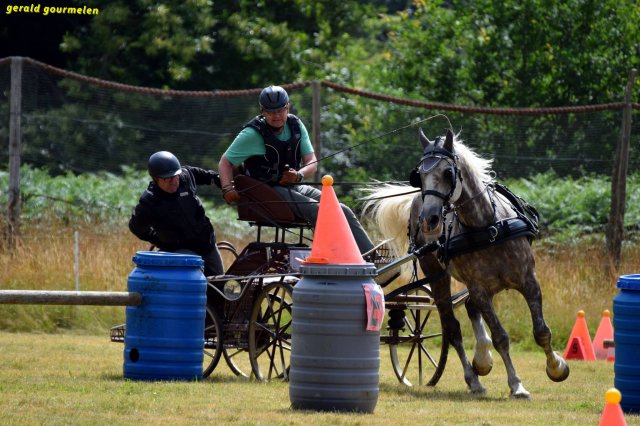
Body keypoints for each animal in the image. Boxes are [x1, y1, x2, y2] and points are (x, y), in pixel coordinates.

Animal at [364, 129, 569, 399]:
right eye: (419, 176)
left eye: (447, 172)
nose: (430, 220)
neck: (487, 227)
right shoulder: (479, 288)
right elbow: (501, 337)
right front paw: (517, 384)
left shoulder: (528, 280)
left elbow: (541, 330)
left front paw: (557, 367)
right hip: (438, 276)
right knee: (453, 329)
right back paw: (474, 379)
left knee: (470, 310)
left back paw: (482, 360)